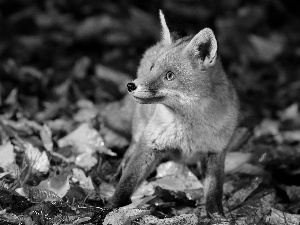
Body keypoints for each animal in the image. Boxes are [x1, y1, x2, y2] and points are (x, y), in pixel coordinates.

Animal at [105, 11, 239, 218]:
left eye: (169, 75)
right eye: (152, 68)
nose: (130, 85)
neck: (189, 131)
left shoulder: (217, 151)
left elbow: (214, 190)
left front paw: (217, 215)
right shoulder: (150, 144)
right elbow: (128, 181)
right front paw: (110, 207)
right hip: (141, 127)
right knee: (131, 148)